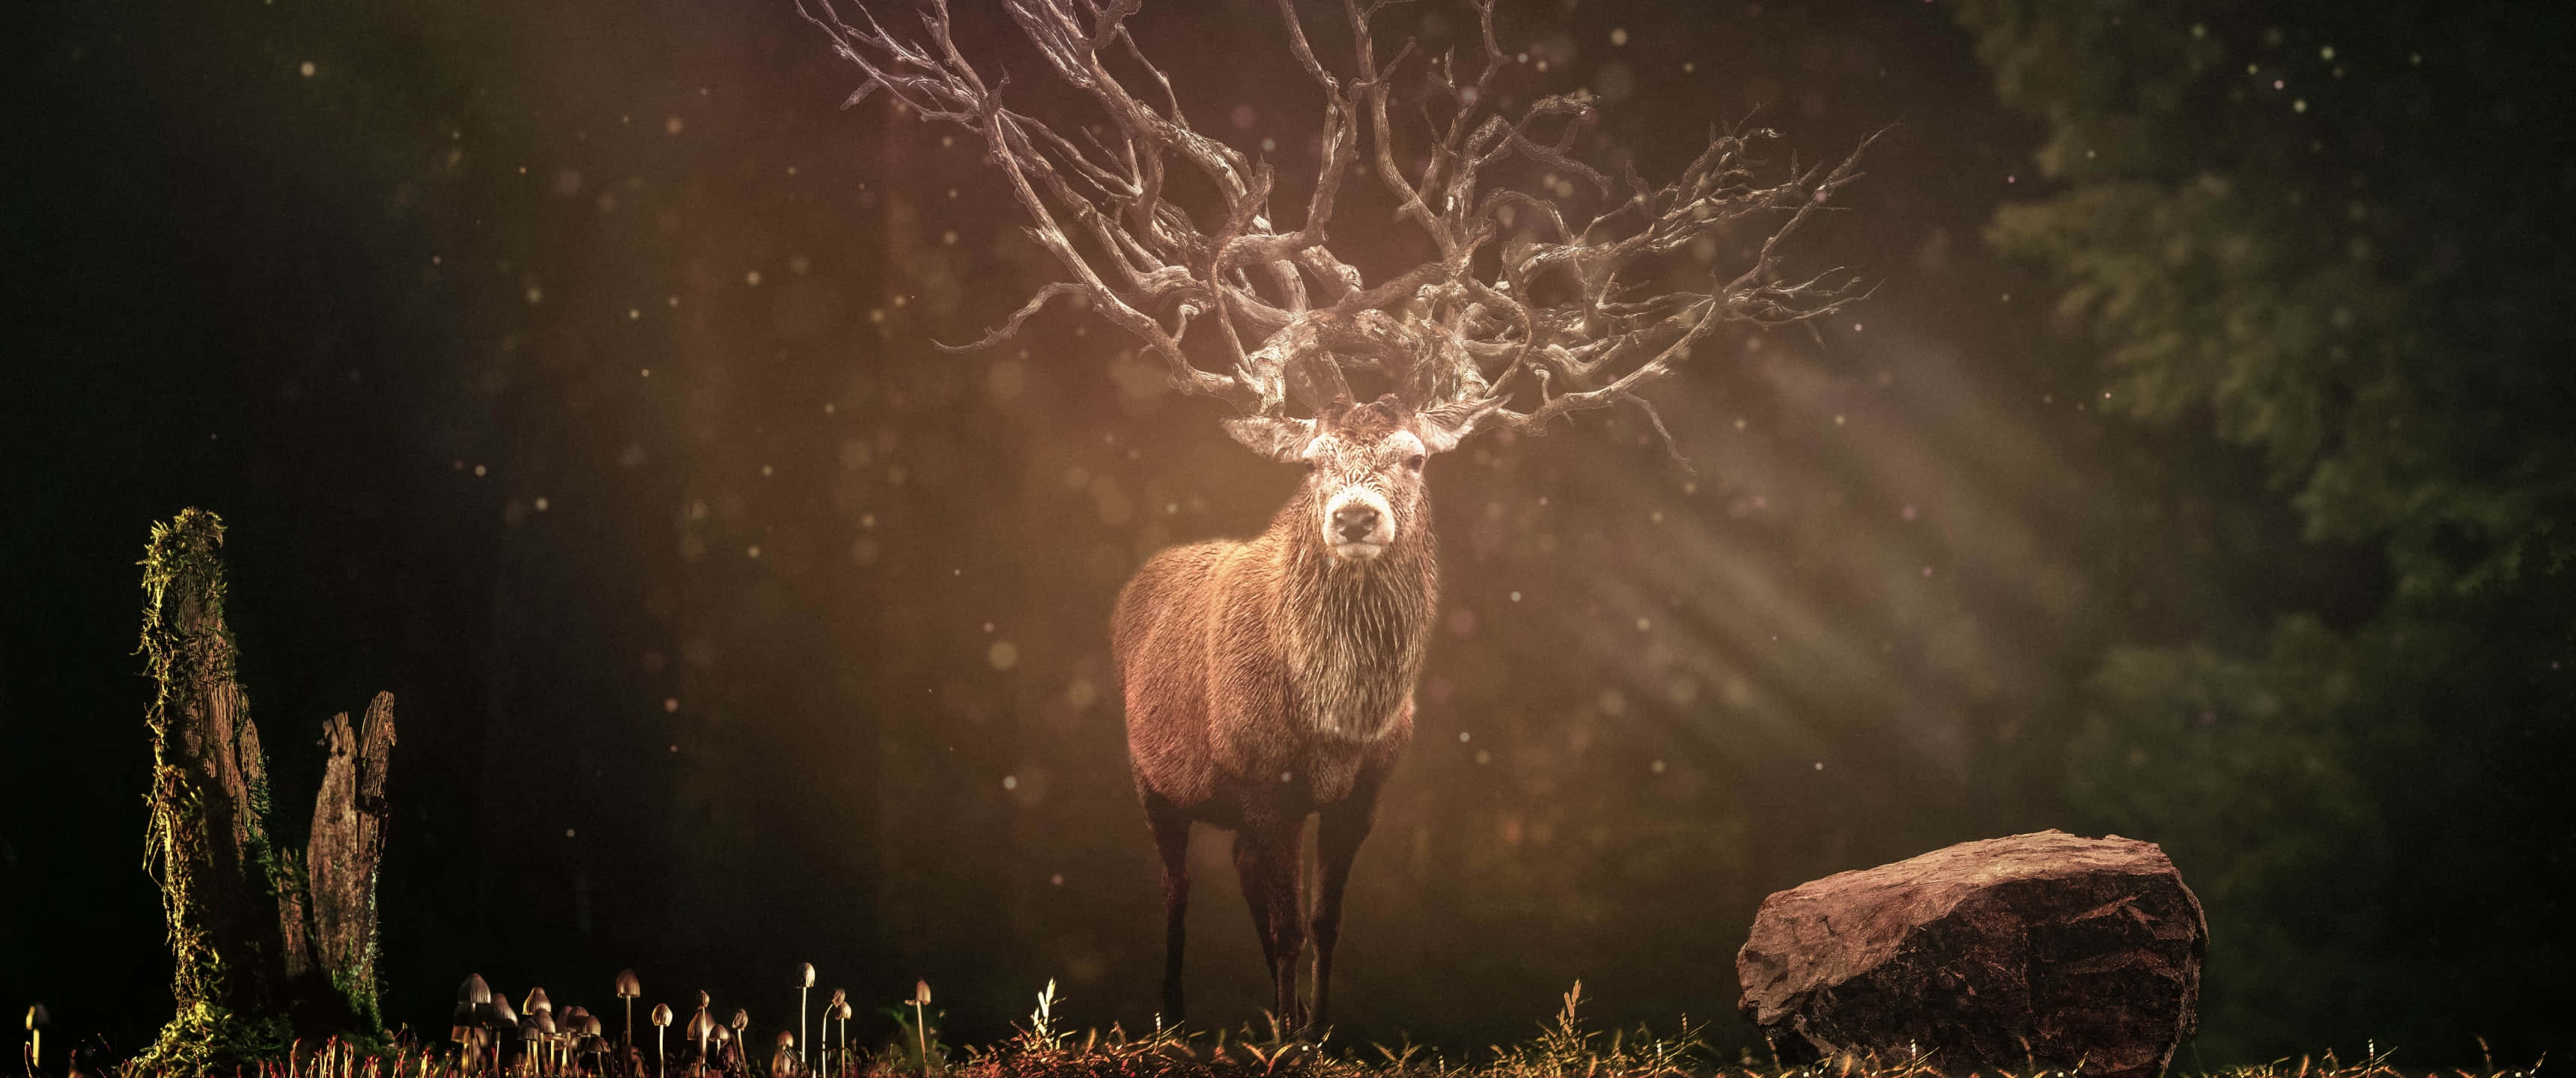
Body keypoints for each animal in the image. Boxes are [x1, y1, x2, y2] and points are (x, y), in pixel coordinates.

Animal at [798, 0, 1871, 1034]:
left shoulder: (1361, 792)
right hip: (1153, 778)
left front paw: (1316, 1030)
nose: (1354, 517)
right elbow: (1275, 921)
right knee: (1178, 887)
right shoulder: (1258, 783)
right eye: (1314, 461)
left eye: (1412, 457)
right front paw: (1278, 1037)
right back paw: (1171, 1016)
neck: (1334, 719)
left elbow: (1322, 919)